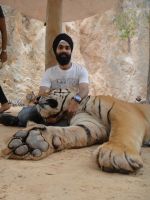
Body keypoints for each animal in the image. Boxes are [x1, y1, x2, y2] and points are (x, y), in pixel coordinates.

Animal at [1, 89, 150, 173]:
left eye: (49, 92)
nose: (36, 99)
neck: (77, 108)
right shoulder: (91, 124)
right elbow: (69, 131)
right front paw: (34, 141)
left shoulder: (123, 110)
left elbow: (122, 130)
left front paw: (115, 153)